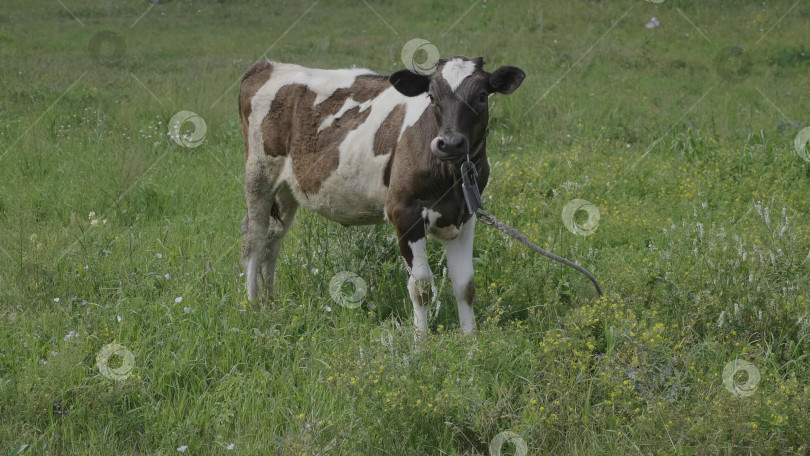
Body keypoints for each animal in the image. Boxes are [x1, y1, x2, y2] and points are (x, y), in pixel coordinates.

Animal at [238, 56, 524, 334]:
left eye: (482, 96)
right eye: (432, 96)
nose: (451, 143)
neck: (452, 176)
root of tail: (268, 65)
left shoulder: (465, 214)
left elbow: (465, 285)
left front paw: (470, 339)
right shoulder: (404, 211)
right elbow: (421, 286)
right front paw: (421, 341)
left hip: (286, 190)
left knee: (273, 241)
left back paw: (271, 304)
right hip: (258, 175)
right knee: (255, 240)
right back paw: (253, 308)